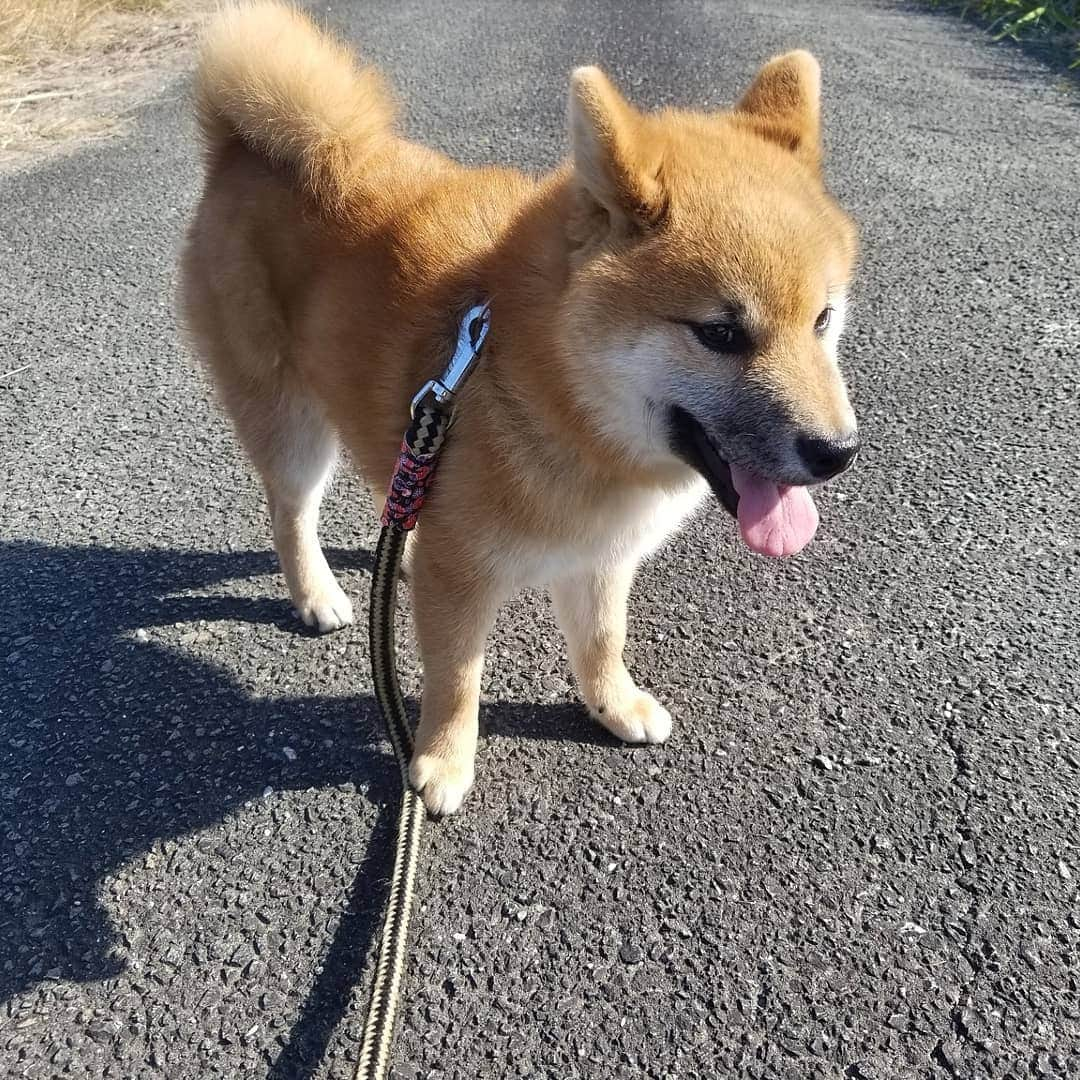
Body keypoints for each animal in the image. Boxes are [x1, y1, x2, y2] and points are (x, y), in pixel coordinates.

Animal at [183, 0, 859, 812]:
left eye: (822, 320)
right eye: (722, 333)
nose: (838, 452)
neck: (540, 394)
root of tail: (242, 150)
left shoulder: (601, 557)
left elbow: (602, 640)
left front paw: (613, 704)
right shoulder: (466, 579)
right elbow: (456, 678)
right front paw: (441, 762)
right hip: (291, 425)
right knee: (291, 512)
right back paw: (316, 593)